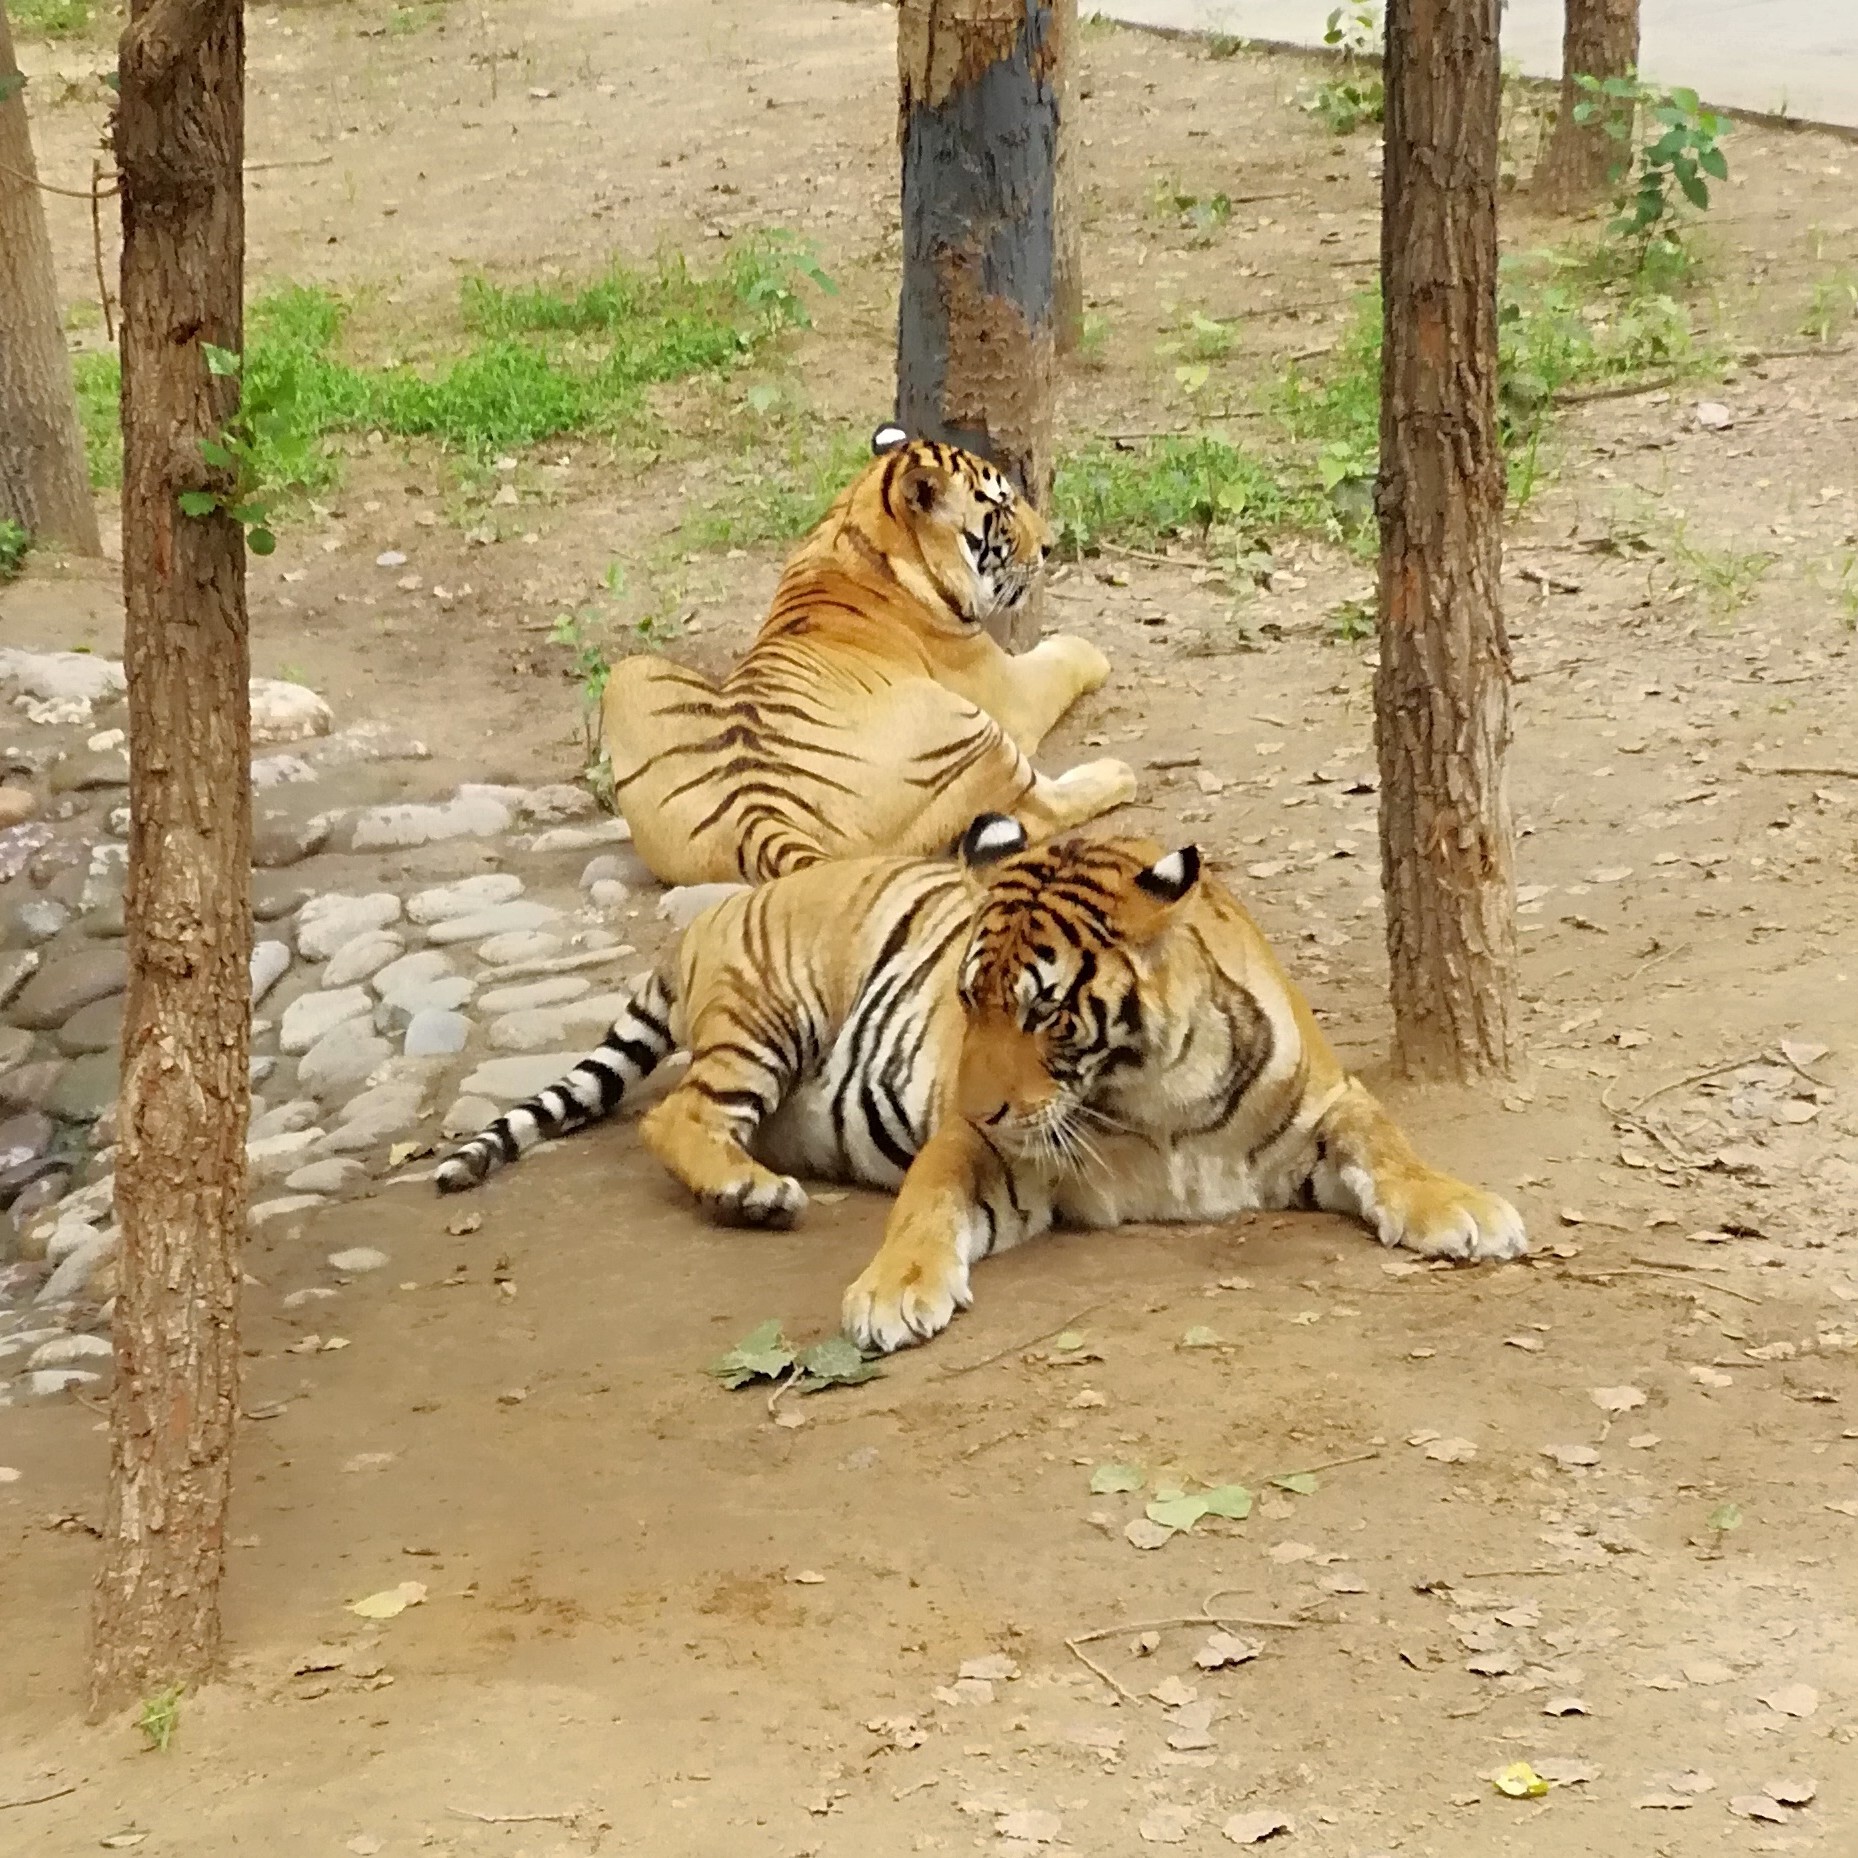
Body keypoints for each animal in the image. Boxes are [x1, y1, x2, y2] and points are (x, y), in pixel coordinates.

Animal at [434, 813, 1523, 1352]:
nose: (975, 1098)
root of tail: (706, 918)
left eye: (1043, 1011)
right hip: (764, 1015)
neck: (1156, 1093)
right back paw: (752, 1192)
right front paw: (893, 1293)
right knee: (674, 1114)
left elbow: (1392, 1145)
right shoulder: (991, 1151)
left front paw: (1464, 1210)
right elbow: (925, 1201)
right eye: (970, 1000)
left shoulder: (1327, 1106)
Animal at [601, 425, 1137, 888]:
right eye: (1003, 506)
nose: (1050, 544)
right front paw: (1091, 652)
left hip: (629, 674)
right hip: (962, 719)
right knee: (1036, 809)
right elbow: (1064, 657)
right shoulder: (1005, 689)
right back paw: (1118, 774)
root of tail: (759, 814)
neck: (863, 526)